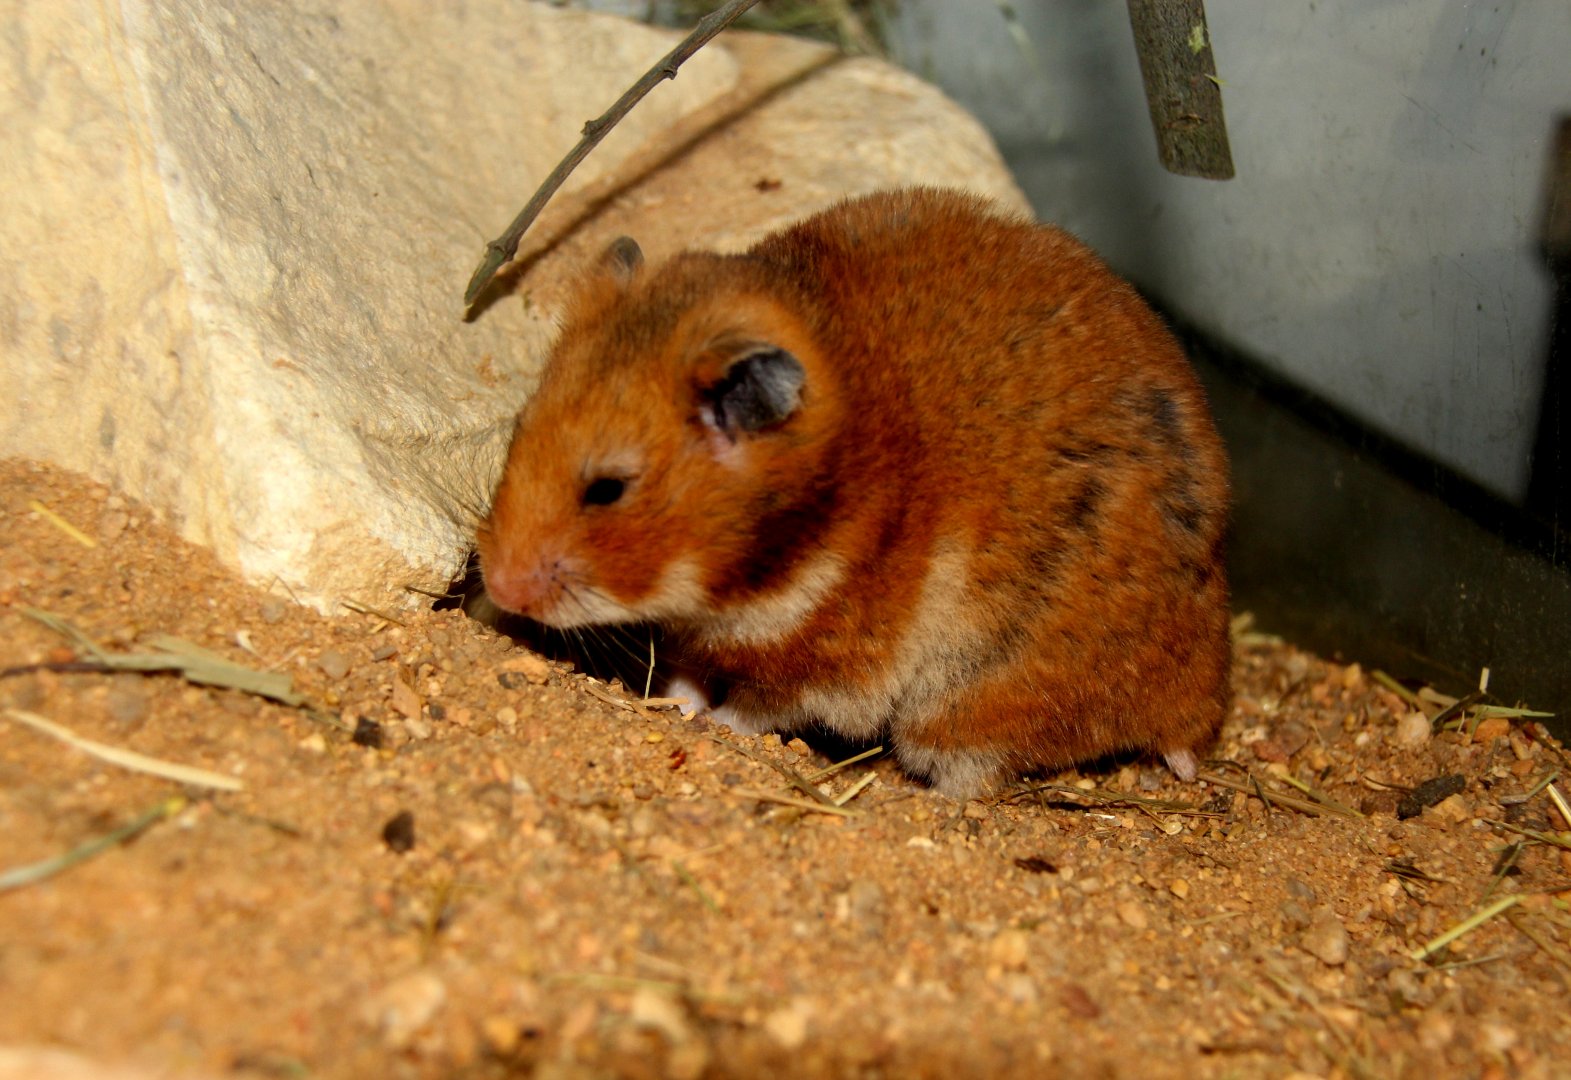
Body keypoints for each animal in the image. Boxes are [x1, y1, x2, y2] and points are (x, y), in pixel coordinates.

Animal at [478, 188, 1231, 798]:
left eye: (607, 489)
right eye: (519, 428)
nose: (498, 587)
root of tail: (1199, 708)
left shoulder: (821, 665)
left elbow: (757, 708)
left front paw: (714, 722)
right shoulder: (710, 638)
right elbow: (691, 671)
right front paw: (674, 702)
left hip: (966, 705)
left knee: (976, 781)